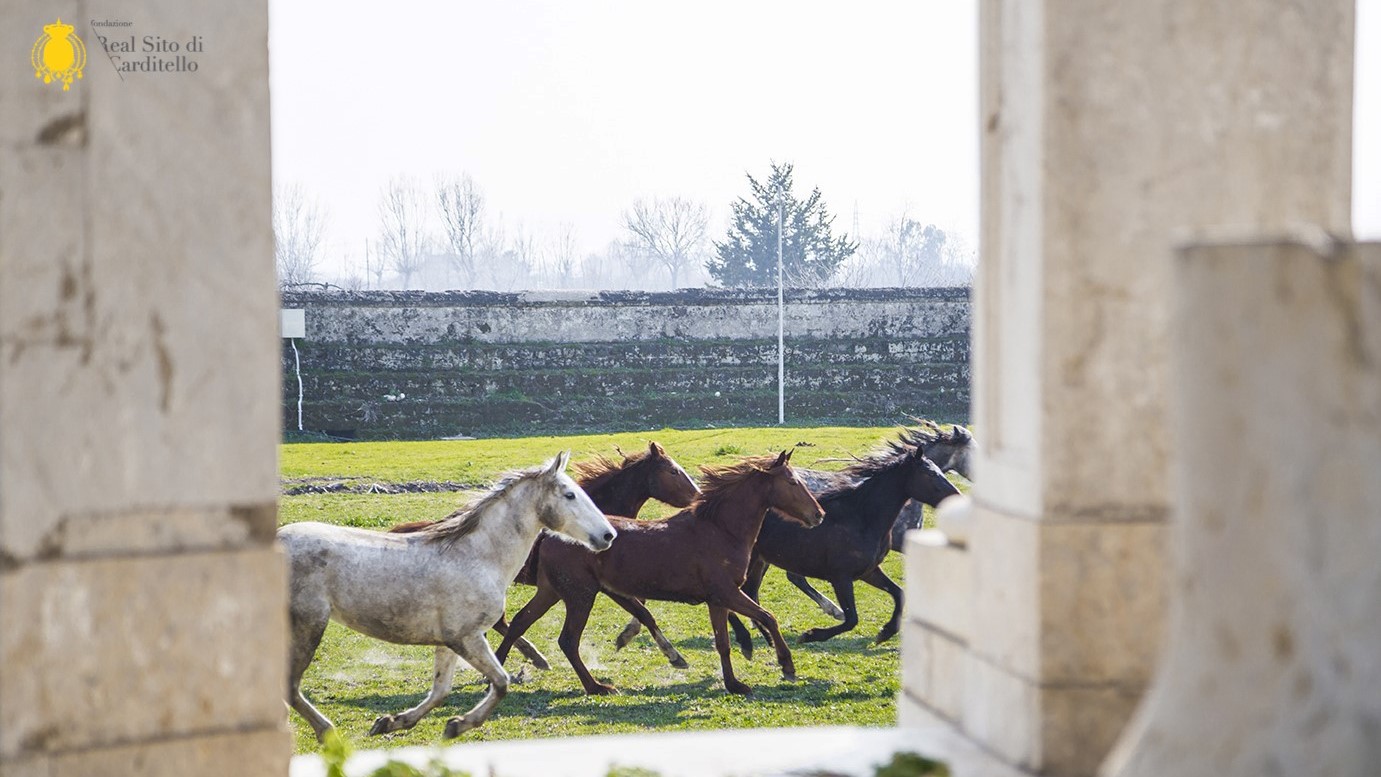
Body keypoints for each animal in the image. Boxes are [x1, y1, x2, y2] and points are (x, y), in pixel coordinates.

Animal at [279, 452, 617, 742]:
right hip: (308, 625)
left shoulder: (448, 641)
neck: (478, 556)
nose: (608, 535)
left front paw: (391, 722)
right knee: (290, 687)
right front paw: (457, 725)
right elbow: (501, 682)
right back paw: (326, 731)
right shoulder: (467, 637)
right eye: (569, 495)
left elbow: (440, 691)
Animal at [389, 441, 700, 669]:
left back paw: (533, 656)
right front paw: (651, 646)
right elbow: (643, 610)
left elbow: (642, 606)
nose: (697, 496)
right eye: (673, 471)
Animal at [495, 451, 825, 696]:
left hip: (552, 591)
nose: (818, 514)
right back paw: (596, 686)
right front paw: (787, 666)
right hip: (580, 595)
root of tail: (549, 535)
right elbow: (768, 617)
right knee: (567, 640)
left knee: (519, 622)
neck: (720, 529)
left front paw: (733, 683)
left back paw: (500, 668)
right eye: (793, 482)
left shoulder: (717, 599)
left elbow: (723, 642)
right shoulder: (727, 592)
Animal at [726, 438, 961, 656]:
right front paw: (809, 635)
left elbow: (898, 593)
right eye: (929, 474)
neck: (861, 516)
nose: (956, 497)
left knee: (748, 592)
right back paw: (746, 640)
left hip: (759, 561)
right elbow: (851, 619)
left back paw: (765, 636)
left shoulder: (868, 571)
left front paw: (885, 632)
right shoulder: (840, 577)